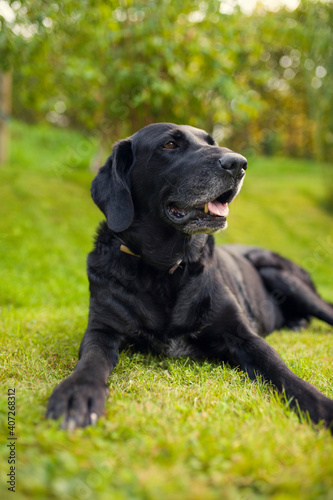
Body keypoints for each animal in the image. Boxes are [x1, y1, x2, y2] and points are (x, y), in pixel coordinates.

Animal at [46, 124, 332, 430]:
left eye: (212, 143)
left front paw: (319, 404)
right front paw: (77, 393)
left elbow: (276, 365)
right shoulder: (102, 329)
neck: (165, 269)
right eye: (170, 144)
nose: (239, 164)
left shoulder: (241, 333)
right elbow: (91, 359)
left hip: (279, 274)